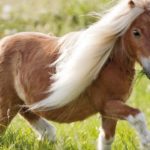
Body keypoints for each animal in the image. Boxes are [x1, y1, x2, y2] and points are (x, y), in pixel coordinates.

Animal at [0, 0, 150, 149]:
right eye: (136, 32)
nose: (149, 68)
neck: (108, 63)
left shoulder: (109, 112)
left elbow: (106, 139)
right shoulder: (107, 104)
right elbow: (138, 115)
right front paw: (145, 142)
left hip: (20, 104)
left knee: (38, 122)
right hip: (7, 106)